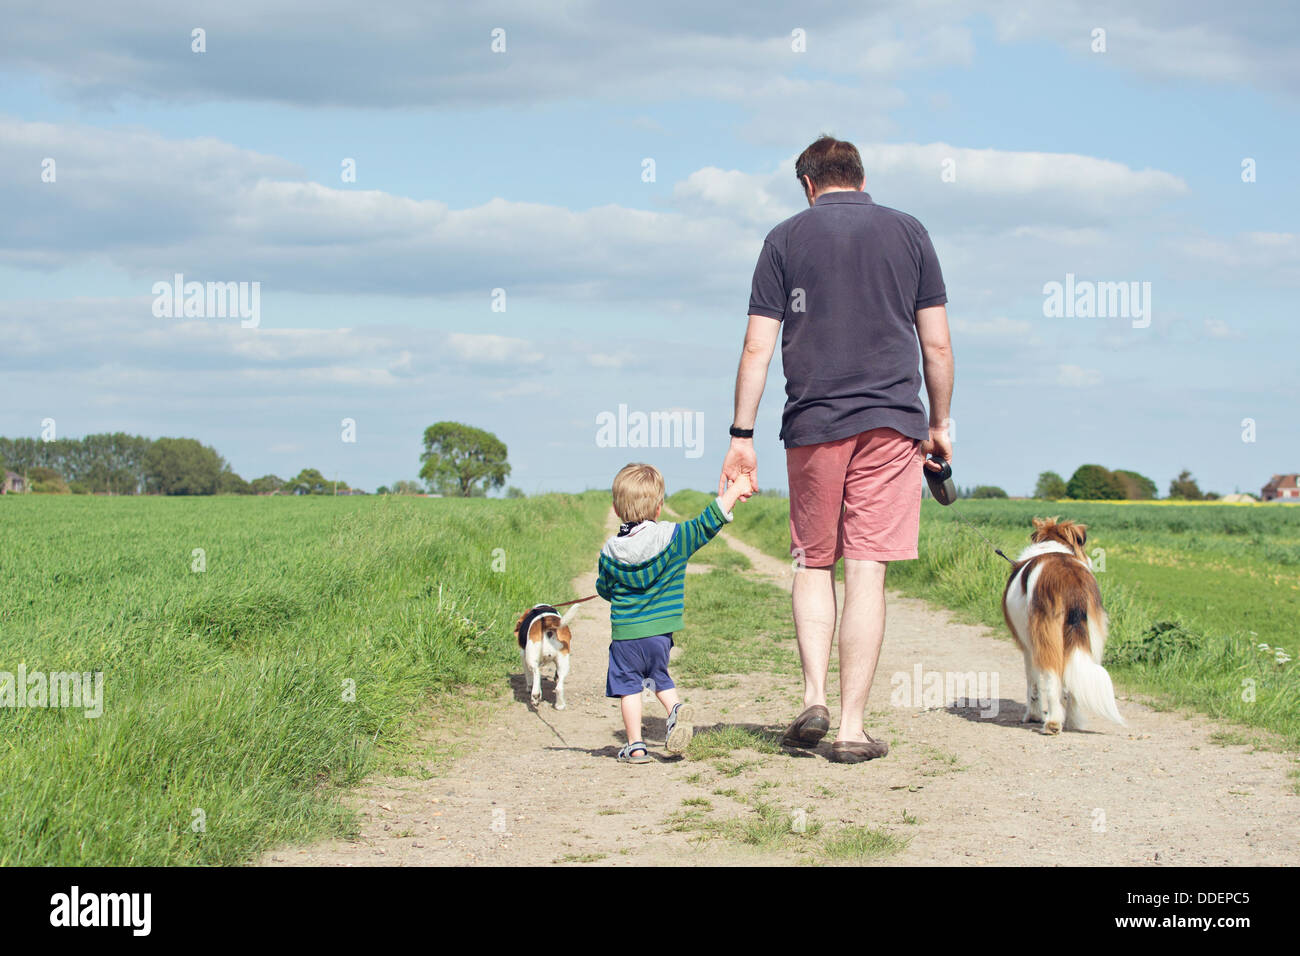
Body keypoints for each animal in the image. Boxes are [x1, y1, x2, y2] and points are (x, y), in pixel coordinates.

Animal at [998, 520, 1123, 738]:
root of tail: (1071, 584)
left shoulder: (1029, 647)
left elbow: (1034, 685)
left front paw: (1033, 715)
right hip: (1092, 637)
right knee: (1074, 681)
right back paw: (1072, 721)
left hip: (1046, 637)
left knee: (1051, 680)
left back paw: (1053, 722)